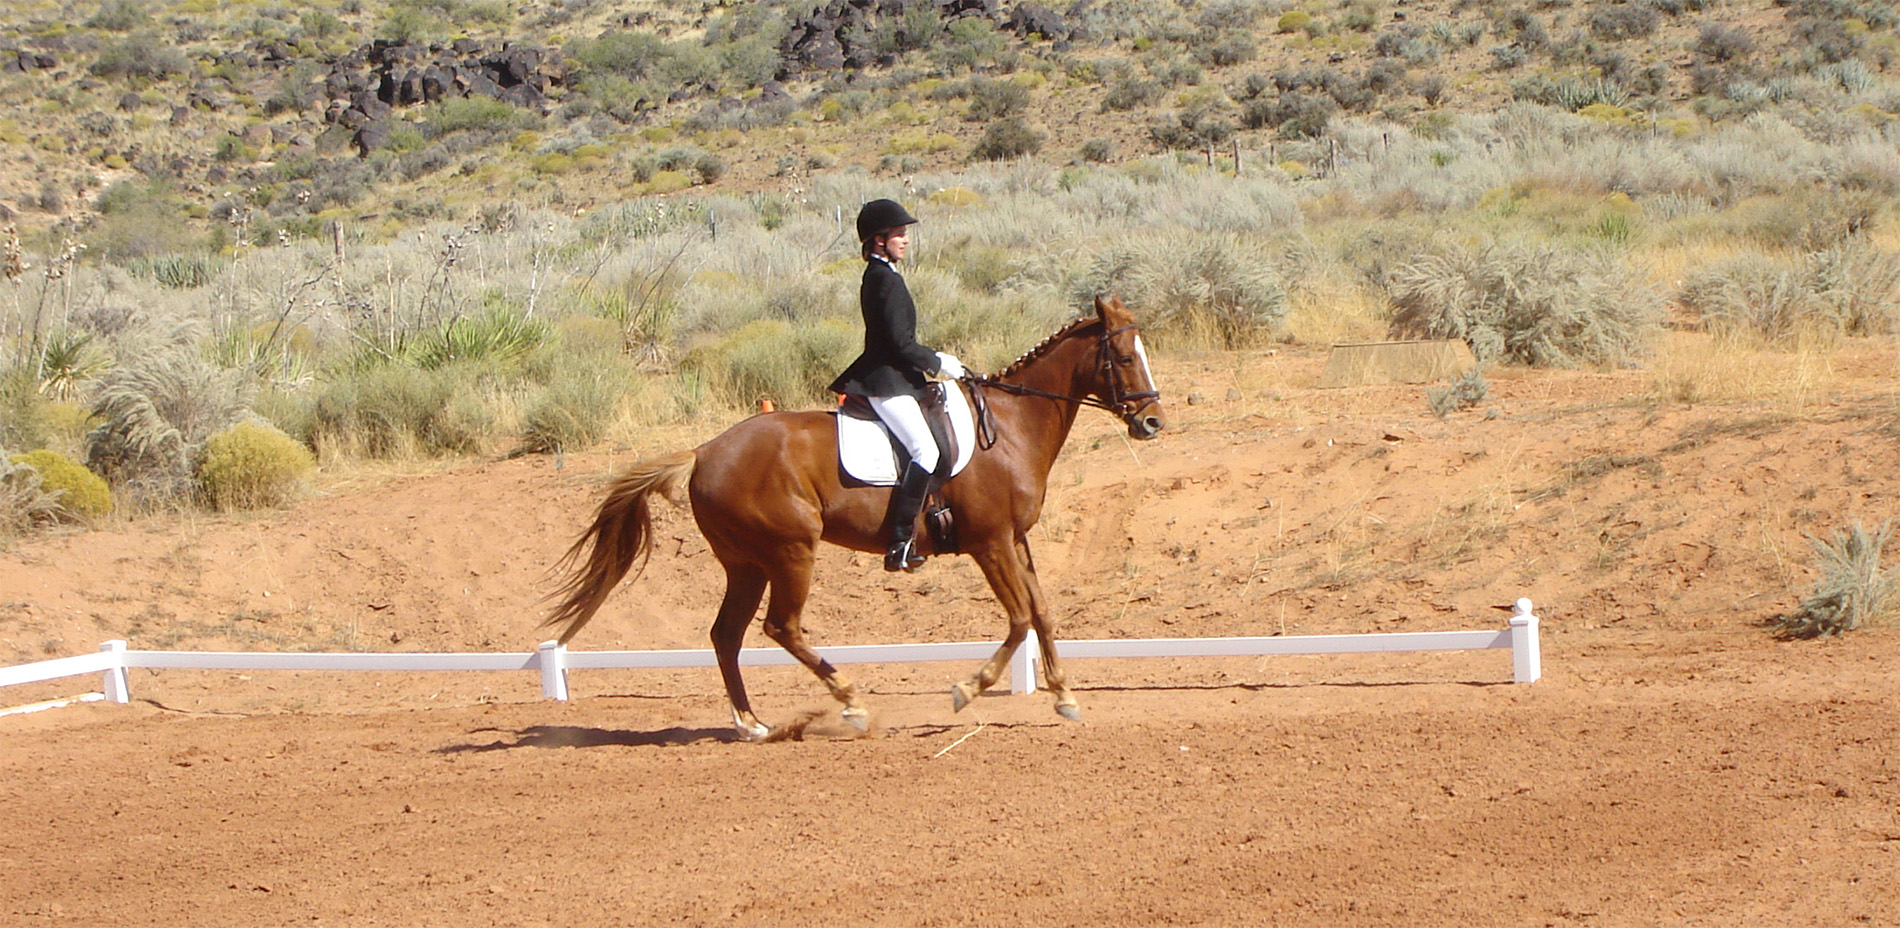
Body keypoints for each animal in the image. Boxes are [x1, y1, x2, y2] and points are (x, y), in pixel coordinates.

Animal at [543, 292, 1162, 741]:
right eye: (1124, 357)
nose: (1152, 423)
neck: (1009, 428)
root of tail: (702, 451)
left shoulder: (1016, 540)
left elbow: (1042, 612)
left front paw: (1064, 696)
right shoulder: (990, 542)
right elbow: (1018, 619)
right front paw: (968, 689)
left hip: (746, 563)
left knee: (726, 635)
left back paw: (753, 724)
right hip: (791, 551)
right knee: (780, 627)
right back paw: (851, 704)